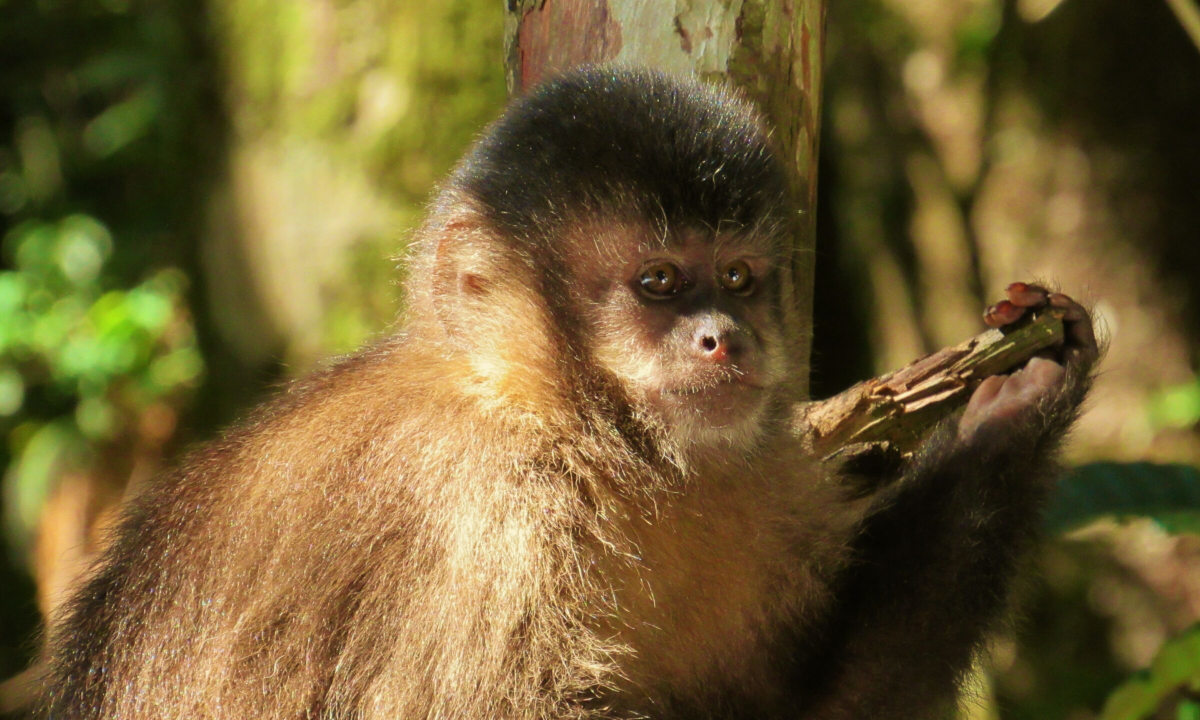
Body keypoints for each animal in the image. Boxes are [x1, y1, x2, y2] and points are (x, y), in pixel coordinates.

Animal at [32, 67, 1099, 720]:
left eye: (740, 278)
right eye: (660, 283)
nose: (725, 338)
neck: (582, 434)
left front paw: (1019, 405)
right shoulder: (480, 512)